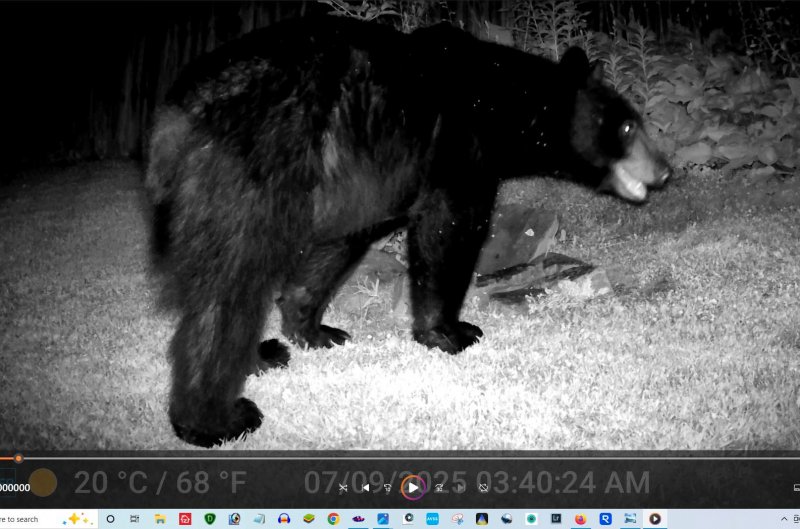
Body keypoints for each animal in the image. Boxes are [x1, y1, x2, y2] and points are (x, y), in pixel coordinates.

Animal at [145, 16, 671, 447]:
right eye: (628, 126)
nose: (666, 171)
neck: (502, 102)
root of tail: (178, 113)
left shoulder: (366, 179)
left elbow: (342, 241)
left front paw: (312, 328)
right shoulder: (459, 146)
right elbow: (449, 228)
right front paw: (450, 332)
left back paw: (262, 353)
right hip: (255, 167)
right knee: (230, 287)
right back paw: (217, 418)